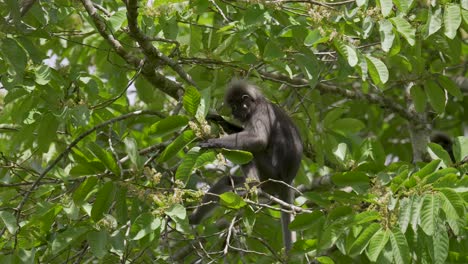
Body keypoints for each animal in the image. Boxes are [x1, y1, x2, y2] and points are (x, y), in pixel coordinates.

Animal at [189, 81, 304, 252]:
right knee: (226, 181)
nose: (233, 113)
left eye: (235, 106)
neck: (257, 103)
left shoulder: (261, 111)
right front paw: (219, 120)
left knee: (251, 151)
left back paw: (254, 184)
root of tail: (287, 181)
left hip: (271, 174)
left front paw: (213, 142)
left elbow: (259, 140)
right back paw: (194, 219)